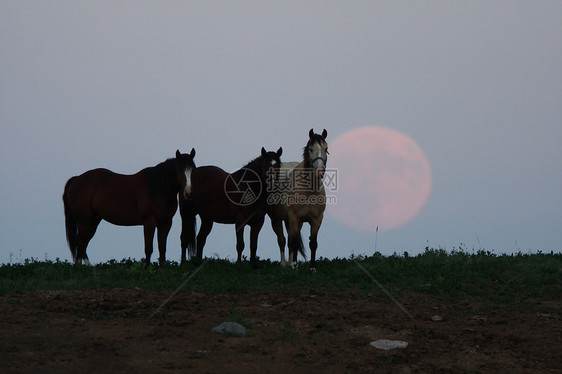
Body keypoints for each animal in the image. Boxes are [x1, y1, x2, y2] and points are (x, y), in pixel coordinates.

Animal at [61, 149, 195, 266]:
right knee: (81, 243)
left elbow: (162, 248)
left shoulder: (165, 223)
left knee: (82, 244)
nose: (189, 193)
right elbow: (148, 248)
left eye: (193, 169)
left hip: (93, 220)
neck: (157, 187)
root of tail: (76, 179)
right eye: (180, 170)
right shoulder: (149, 222)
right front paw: (147, 268)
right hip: (83, 221)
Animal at [266, 129, 328, 268]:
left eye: (326, 149)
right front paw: (294, 265)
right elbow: (293, 242)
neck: (309, 191)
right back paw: (285, 264)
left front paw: (312, 267)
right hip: (276, 219)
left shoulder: (317, 219)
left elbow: (312, 243)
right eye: (311, 149)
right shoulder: (294, 217)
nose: (320, 171)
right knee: (282, 240)